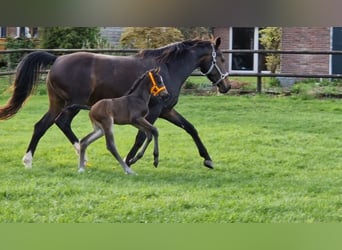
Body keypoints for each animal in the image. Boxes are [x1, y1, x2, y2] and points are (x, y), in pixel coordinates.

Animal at [0, 37, 232, 170]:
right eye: (221, 58)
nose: (226, 86)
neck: (167, 68)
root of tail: (57, 59)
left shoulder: (166, 110)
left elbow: (190, 128)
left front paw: (208, 160)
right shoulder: (154, 111)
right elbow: (142, 135)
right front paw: (130, 160)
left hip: (59, 103)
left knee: (48, 124)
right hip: (72, 104)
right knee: (54, 124)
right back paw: (35, 159)